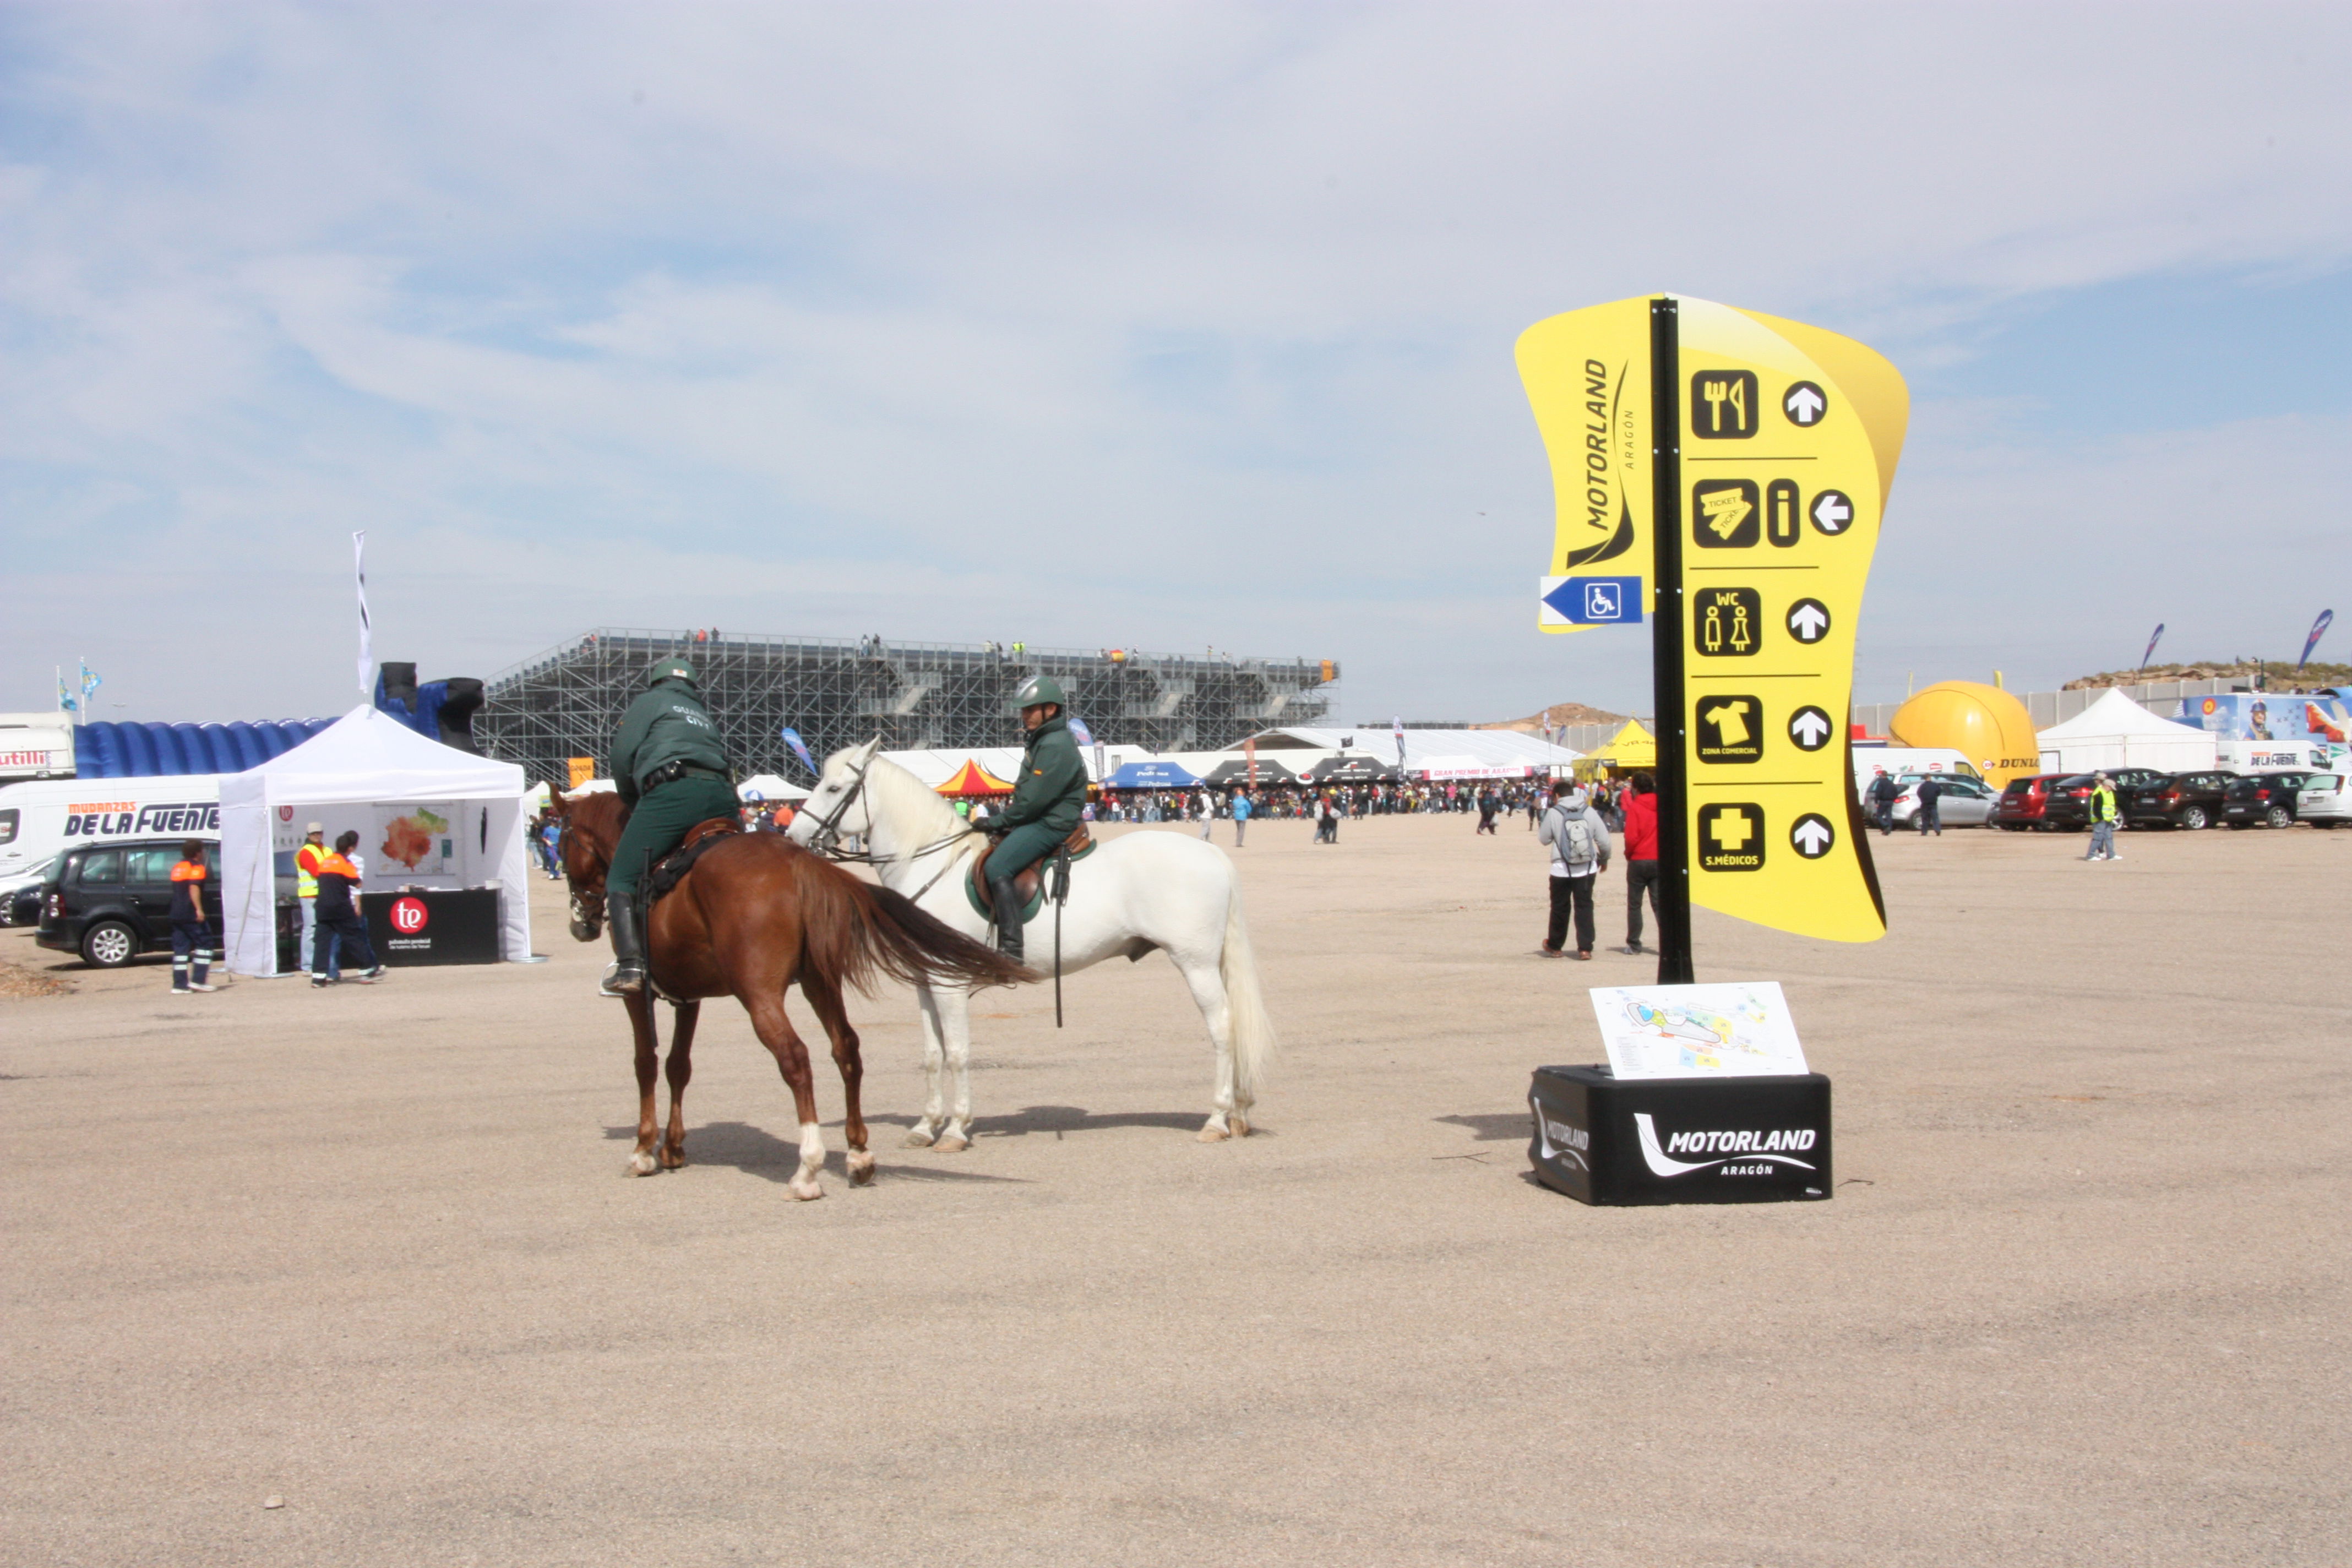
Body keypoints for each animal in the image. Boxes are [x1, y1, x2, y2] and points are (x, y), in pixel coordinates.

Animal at [555, 790, 1035, 1194]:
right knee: (846, 1049)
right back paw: (859, 1155)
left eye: (562, 842)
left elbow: (646, 1065)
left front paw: (643, 1150)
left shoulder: (639, 997)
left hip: (761, 994)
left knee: (796, 1057)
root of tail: (794, 859)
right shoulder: (687, 997)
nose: (581, 925)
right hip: (819, 982)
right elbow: (678, 1066)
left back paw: (808, 1166)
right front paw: (672, 1147)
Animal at [785, 743, 1270, 1147]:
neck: (932, 863)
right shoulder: (926, 984)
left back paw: (1217, 1118)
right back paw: (1239, 1113)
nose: (792, 840)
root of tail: (1209, 854)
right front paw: (926, 1125)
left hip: (1195, 964)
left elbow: (958, 1054)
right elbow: (933, 1055)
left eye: (833, 788)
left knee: (1223, 1028)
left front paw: (956, 1128)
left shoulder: (948, 986)